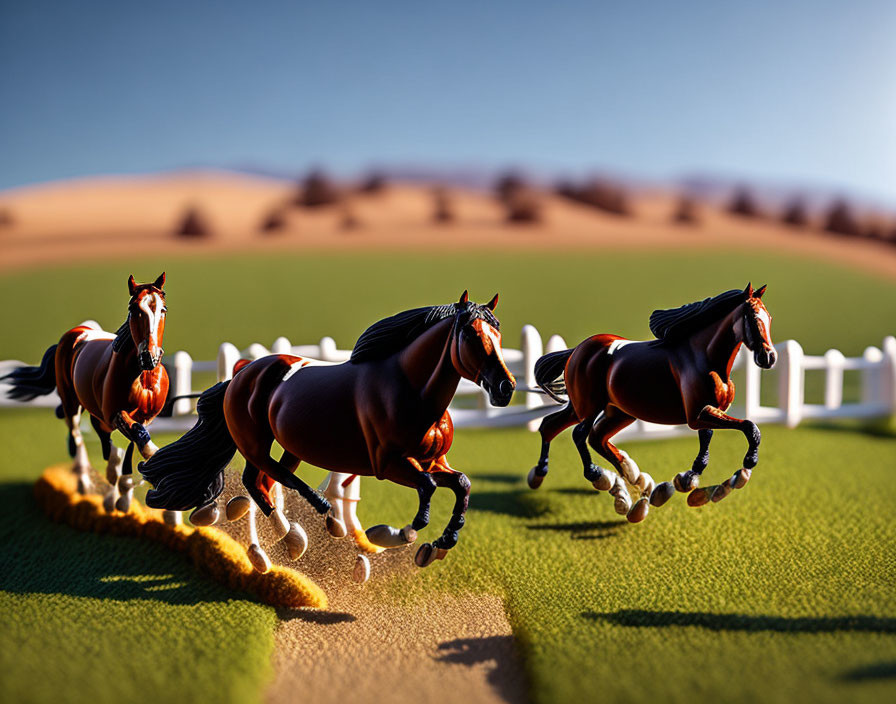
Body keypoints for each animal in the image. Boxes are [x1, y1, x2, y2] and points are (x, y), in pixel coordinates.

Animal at [3, 274, 170, 512]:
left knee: (104, 445)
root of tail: (77, 331)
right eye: (133, 308)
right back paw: (85, 485)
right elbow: (135, 438)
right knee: (79, 440)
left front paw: (125, 498)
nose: (150, 357)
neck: (142, 376)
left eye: (163, 309)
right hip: (72, 406)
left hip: (94, 414)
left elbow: (133, 444)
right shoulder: (113, 414)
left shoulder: (145, 418)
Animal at [141, 292, 520, 572]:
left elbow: (463, 485)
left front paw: (442, 543)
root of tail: (240, 375)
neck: (411, 389)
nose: (506, 387)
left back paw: (292, 533)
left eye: (498, 335)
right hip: (255, 443)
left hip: (287, 446)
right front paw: (404, 533)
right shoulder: (389, 465)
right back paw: (314, 523)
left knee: (262, 480)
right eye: (471, 334)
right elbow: (427, 489)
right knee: (267, 479)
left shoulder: (433, 462)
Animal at [528, 284, 772, 524]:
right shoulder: (697, 415)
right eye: (752, 317)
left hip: (611, 411)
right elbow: (749, 426)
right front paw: (746, 465)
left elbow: (711, 437)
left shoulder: (707, 412)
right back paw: (600, 477)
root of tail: (576, 351)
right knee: (579, 434)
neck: (704, 358)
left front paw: (690, 478)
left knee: (571, 431)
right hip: (590, 407)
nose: (768, 357)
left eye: (769, 317)